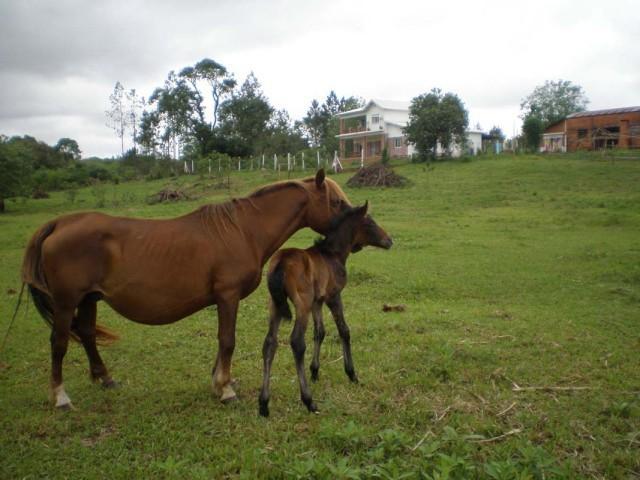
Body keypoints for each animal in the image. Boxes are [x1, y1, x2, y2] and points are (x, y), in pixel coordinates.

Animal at [22, 170, 350, 408]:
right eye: (336, 203)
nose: (346, 239)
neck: (244, 230)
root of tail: (60, 223)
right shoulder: (228, 296)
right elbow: (227, 341)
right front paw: (225, 389)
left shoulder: (224, 300)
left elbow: (222, 342)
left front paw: (219, 382)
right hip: (66, 302)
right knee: (59, 343)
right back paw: (60, 397)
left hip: (89, 298)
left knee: (88, 335)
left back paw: (106, 379)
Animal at [258, 202, 390, 416]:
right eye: (370, 223)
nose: (389, 240)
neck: (333, 254)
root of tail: (281, 263)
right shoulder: (333, 297)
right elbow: (344, 331)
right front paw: (351, 374)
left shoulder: (317, 302)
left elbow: (319, 332)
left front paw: (315, 371)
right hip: (301, 304)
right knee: (297, 342)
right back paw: (308, 401)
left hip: (275, 305)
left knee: (270, 342)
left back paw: (263, 403)